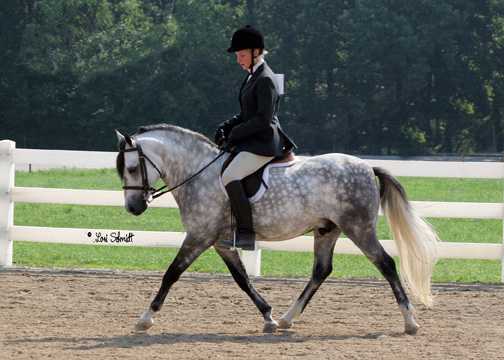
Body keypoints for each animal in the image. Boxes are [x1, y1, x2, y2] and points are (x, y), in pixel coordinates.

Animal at [114, 123, 438, 334]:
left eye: (132, 168)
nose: (134, 208)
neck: (198, 173)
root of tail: (369, 167)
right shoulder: (220, 242)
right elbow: (242, 279)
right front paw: (268, 317)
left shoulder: (199, 237)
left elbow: (171, 274)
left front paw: (145, 319)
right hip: (327, 230)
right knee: (321, 271)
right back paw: (286, 319)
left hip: (359, 228)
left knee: (386, 264)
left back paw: (410, 322)